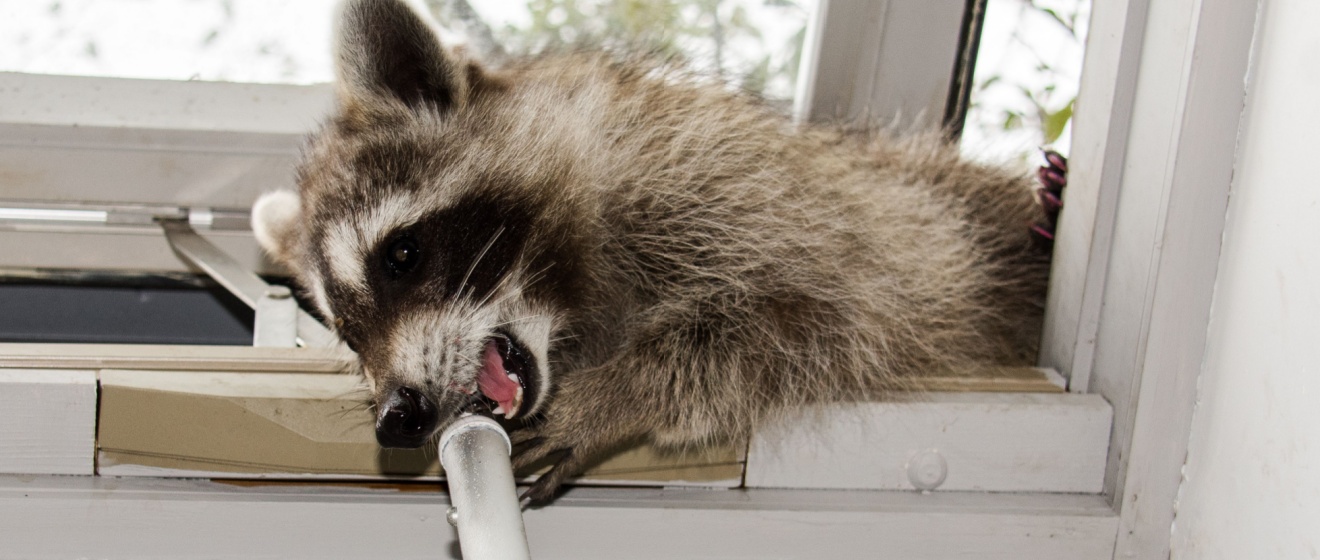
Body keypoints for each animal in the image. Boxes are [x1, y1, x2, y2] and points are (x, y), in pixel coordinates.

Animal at [251, 0, 1055, 503]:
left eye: (403, 255)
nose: (398, 417)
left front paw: (622, 390)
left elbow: (813, 316)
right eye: (347, 333)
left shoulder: (754, 194)